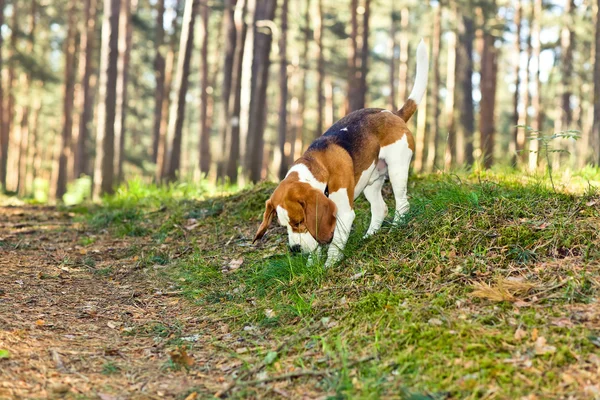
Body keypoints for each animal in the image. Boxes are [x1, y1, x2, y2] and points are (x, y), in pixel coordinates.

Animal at [252, 40, 426, 268]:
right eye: (284, 226)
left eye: (298, 222)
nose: (295, 250)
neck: (319, 167)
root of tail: (393, 114)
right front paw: (312, 264)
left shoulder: (344, 211)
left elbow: (335, 241)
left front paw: (329, 264)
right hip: (371, 181)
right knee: (380, 208)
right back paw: (370, 235)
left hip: (397, 170)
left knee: (402, 203)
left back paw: (397, 225)